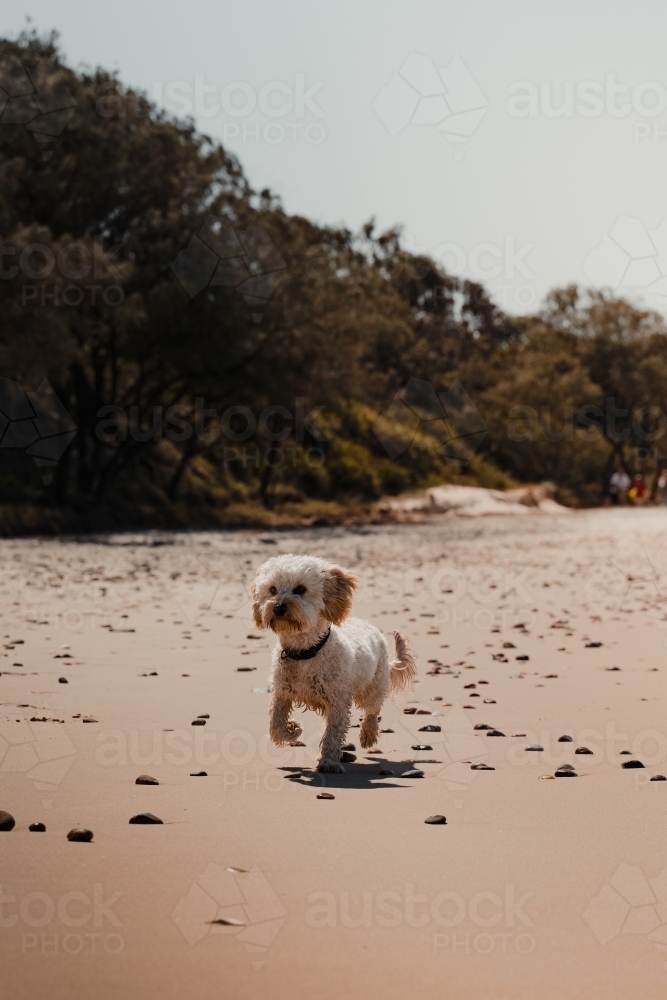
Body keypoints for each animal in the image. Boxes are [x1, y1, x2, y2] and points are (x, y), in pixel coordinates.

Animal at [252, 556, 418, 772]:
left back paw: (368, 735)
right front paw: (292, 730)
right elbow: (275, 726)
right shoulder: (282, 694)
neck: (305, 652)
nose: (278, 607)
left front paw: (329, 762)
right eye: (272, 589)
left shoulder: (337, 702)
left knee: (373, 711)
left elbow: (332, 734)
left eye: (300, 589)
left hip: (371, 687)